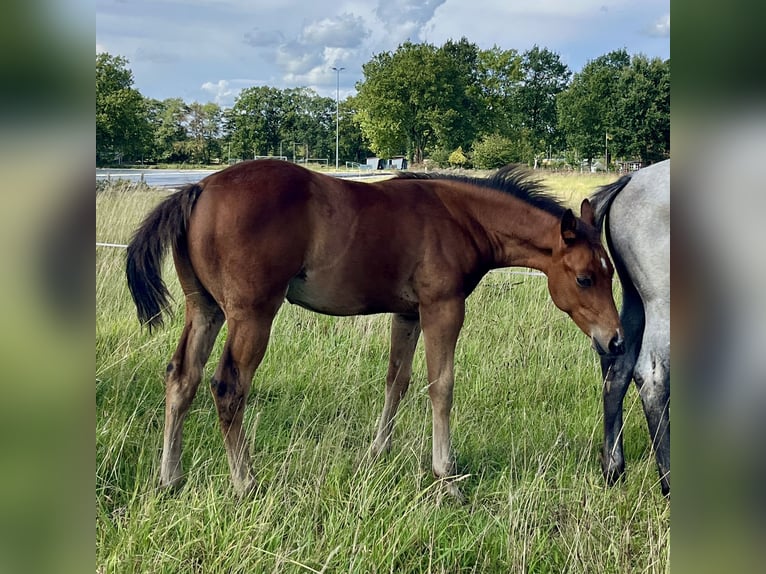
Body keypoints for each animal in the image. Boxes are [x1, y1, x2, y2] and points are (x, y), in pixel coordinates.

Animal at [126, 159, 625, 500]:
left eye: (611, 272)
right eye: (585, 278)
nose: (616, 340)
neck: (459, 217)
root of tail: (199, 187)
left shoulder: (408, 314)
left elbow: (396, 380)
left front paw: (376, 454)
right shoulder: (443, 308)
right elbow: (441, 385)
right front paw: (448, 479)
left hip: (205, 308)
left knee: (181, 378)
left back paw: (170, 478)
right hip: (253, 313)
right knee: (228, 386)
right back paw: (246, 483)